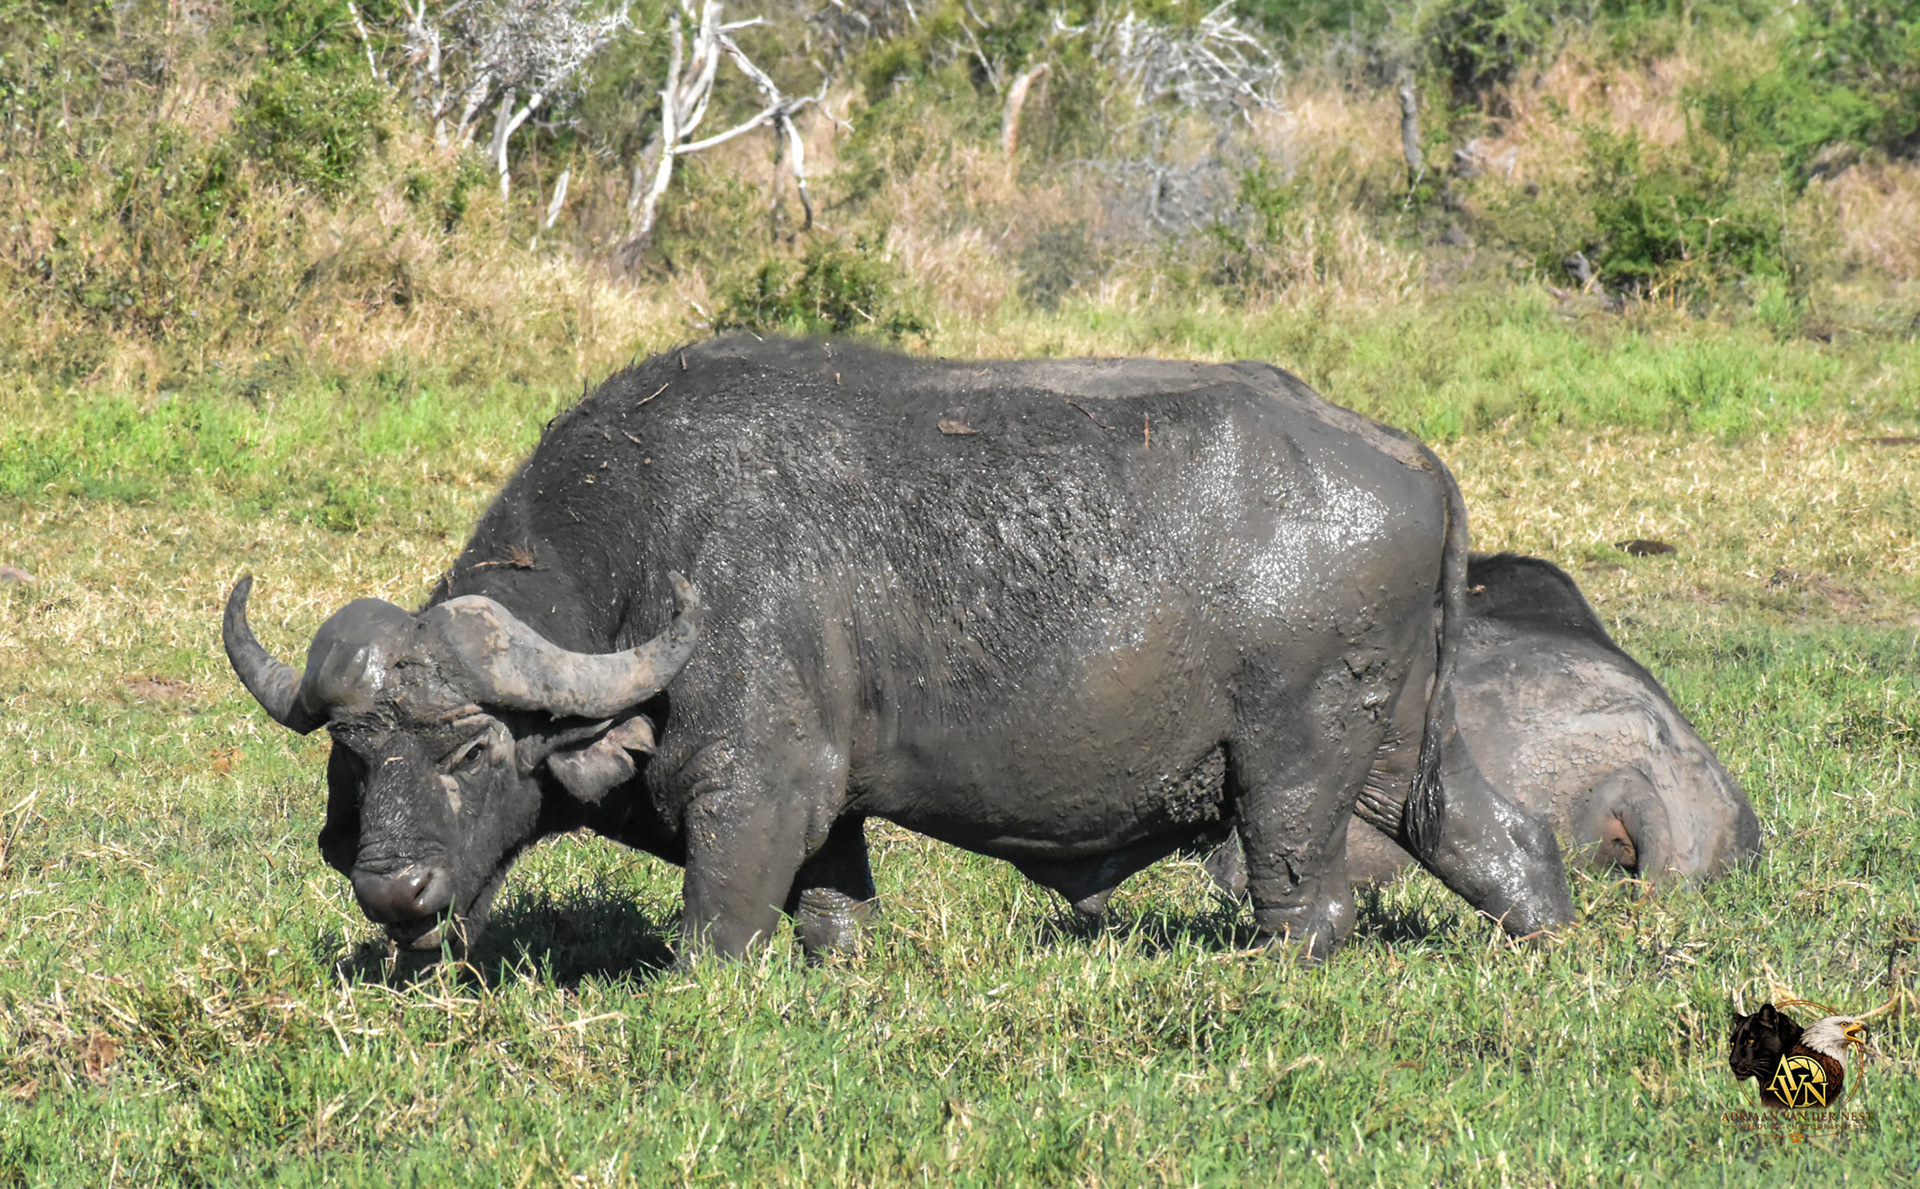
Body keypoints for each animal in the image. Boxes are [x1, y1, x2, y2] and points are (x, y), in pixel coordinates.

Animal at [225, 338, 1575, 962]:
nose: (390, 890)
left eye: (467, 751)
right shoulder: (831, 810)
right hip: (1404, 753)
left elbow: (716, 933)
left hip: (1292, 771)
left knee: (1306, 898)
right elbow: (835, 919)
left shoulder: (755, 792)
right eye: (357, 758)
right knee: (1503, 838)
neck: (651, 561)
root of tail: (1408, 456)